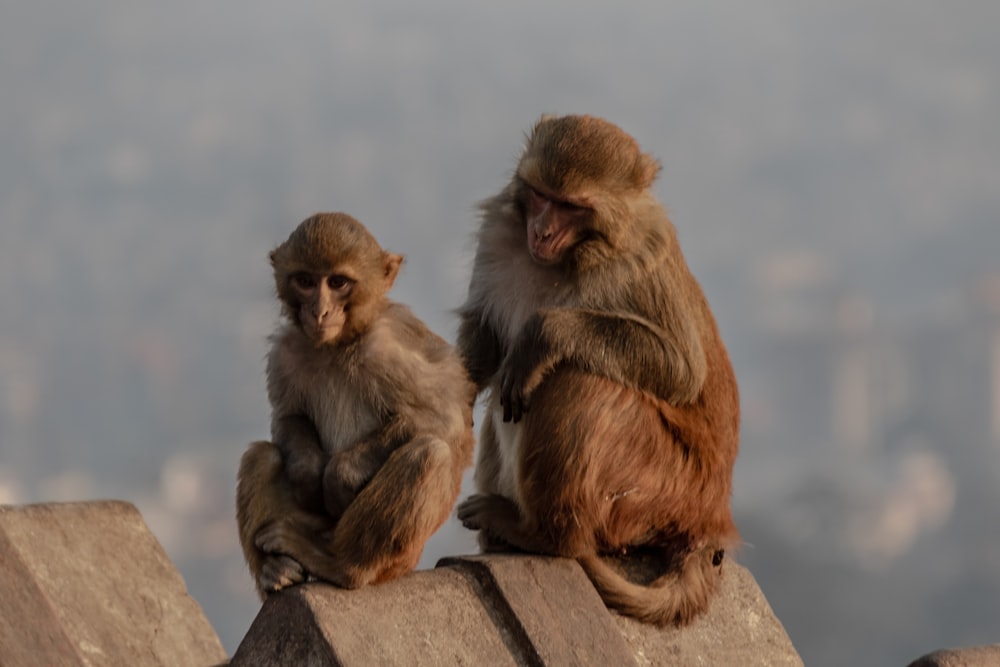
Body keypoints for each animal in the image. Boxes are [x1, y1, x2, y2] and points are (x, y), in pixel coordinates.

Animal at [236, 214, 474, 600]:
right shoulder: (286, 350)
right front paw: (308, 472)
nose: (319, 312)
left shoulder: (389, 349)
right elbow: (288, 416)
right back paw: (276, 571)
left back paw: (339, 564)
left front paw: (339, 476)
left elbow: (447, 418)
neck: (339, 344)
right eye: (305, 281)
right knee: (262, 454)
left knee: (429, 453)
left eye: (338, 282)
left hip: (396, 560)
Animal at [458, 113, 740, 628]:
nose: (541, 233)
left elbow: (679, 369)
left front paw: (544, 333)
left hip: (657, 490)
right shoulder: (498, 233)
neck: (572, 256)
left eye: (571, 207)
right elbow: (486, 334)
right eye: (541, 195)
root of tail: (711, 519)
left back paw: (542, 535)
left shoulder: (640, 260)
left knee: (578, 379)